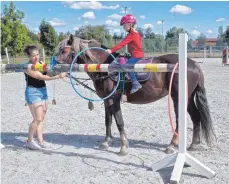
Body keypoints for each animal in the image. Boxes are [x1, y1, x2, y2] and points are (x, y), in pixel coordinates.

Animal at [55, 34, 215, 155]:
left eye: (64, 51)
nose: (53, 65)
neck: (105, 67)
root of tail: (193, 64)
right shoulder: (107, 100)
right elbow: (108, 120)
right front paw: (107, 141)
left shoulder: (114, 100)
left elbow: (119, 122)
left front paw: (123, 146)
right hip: (188, 98)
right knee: (195, 117)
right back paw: (194, 144)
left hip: (178, 98)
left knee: (181, 120)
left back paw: (172, 145)